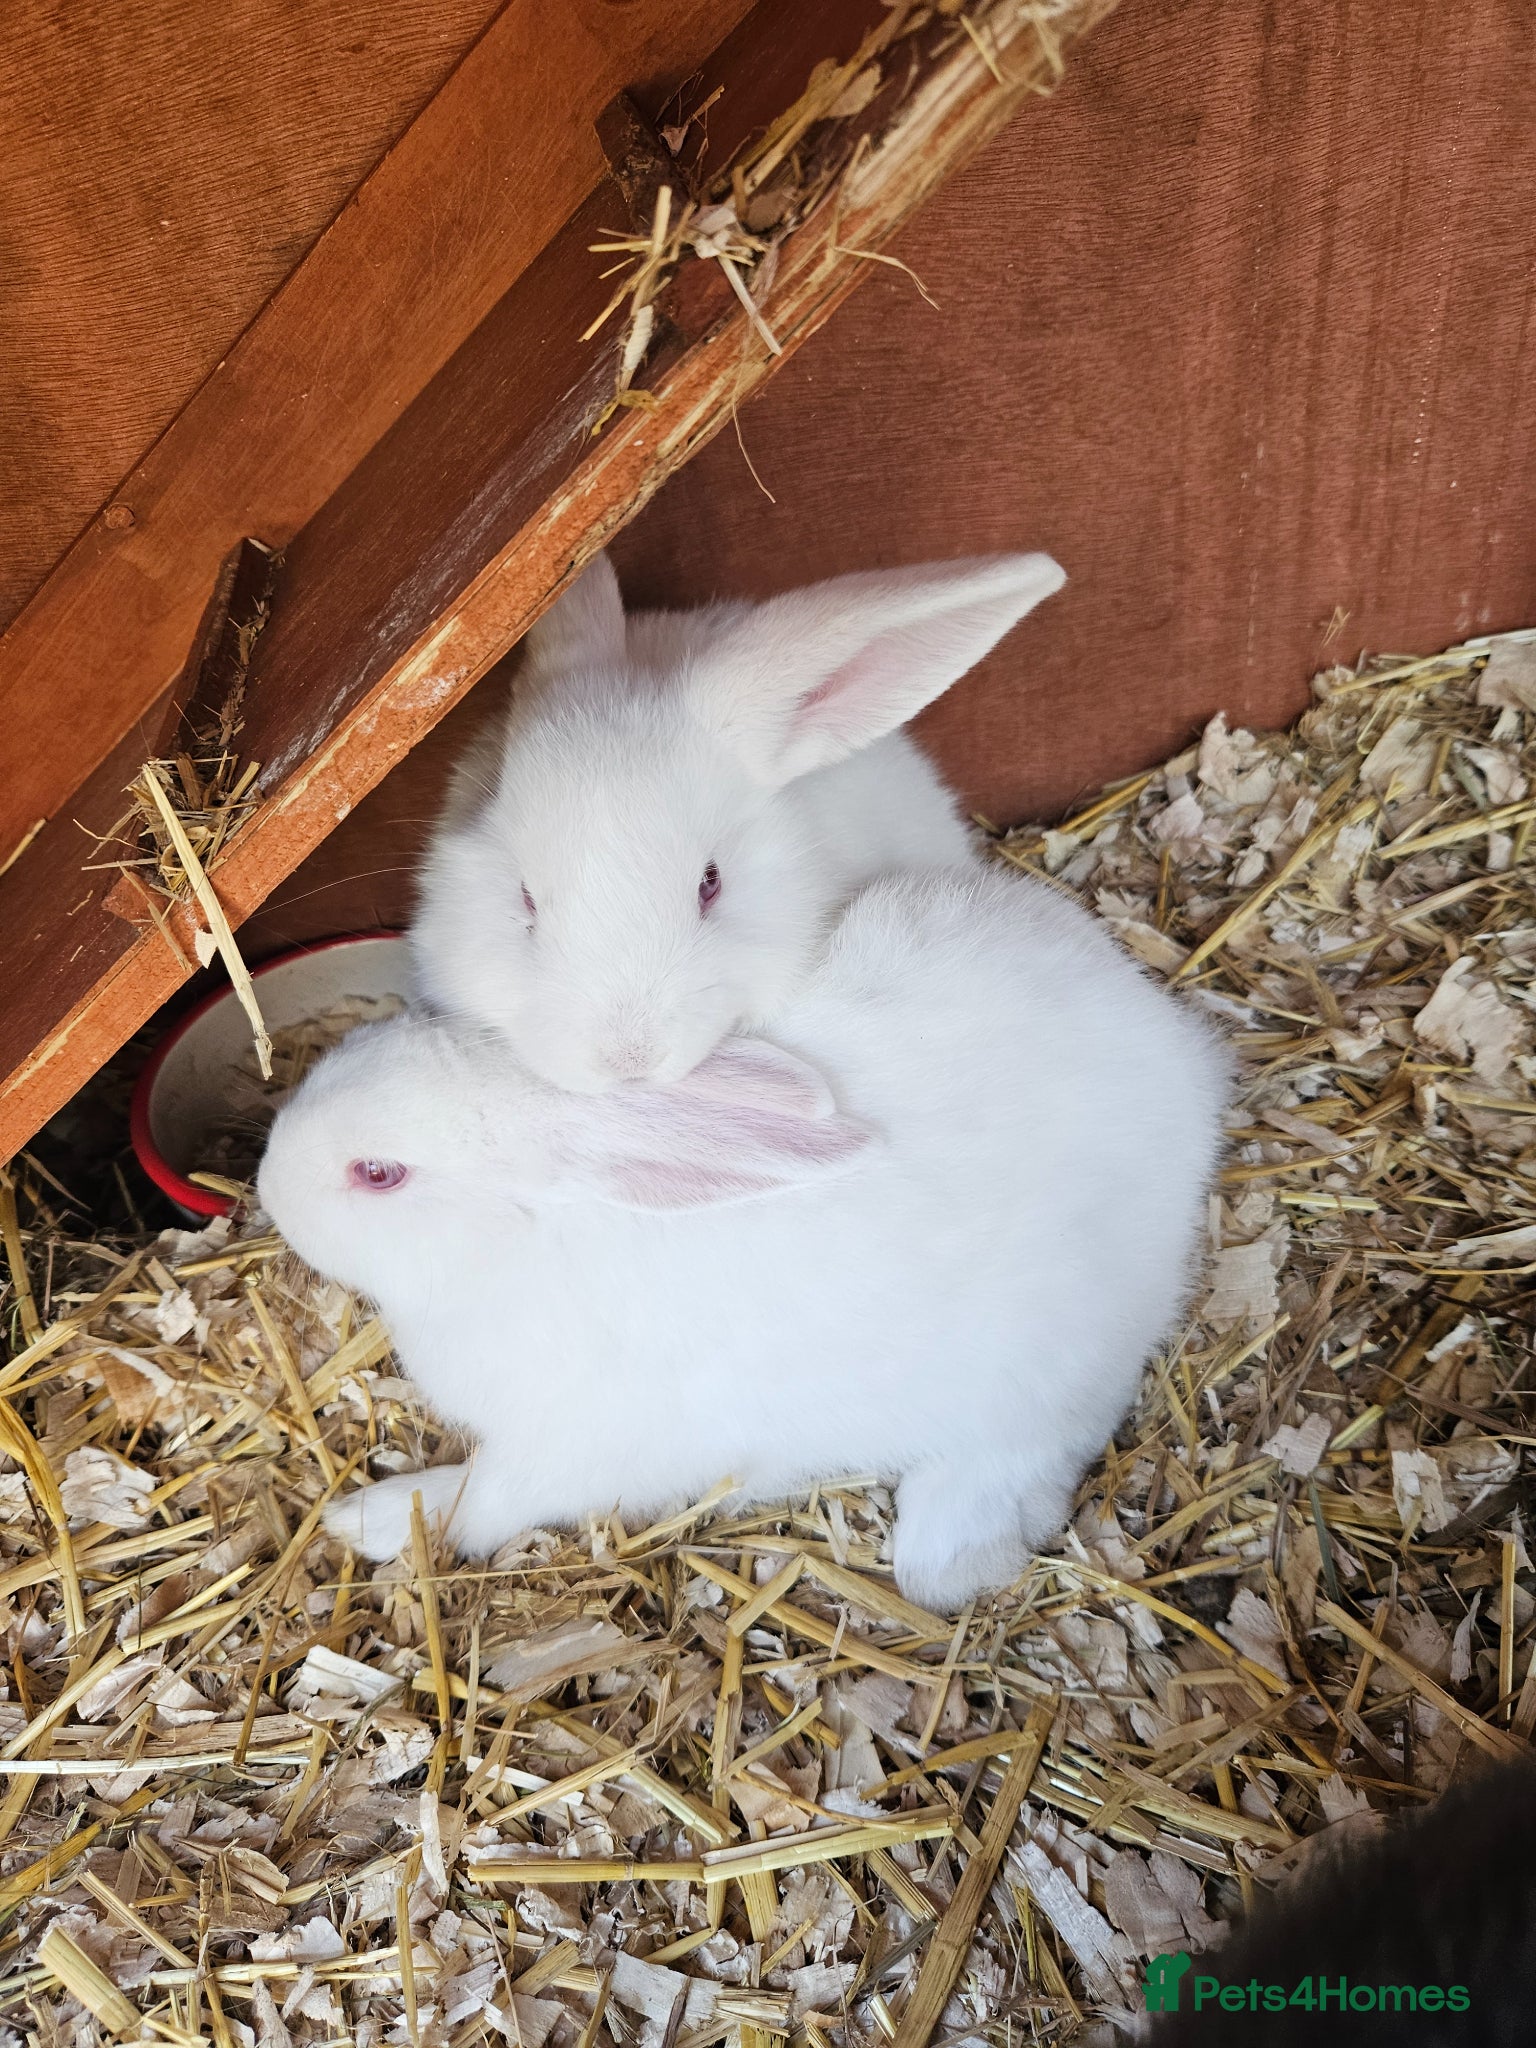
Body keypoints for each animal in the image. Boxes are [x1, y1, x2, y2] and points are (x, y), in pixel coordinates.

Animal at [259, 863, 1227, 1608]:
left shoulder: (576, 1452)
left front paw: (367, 1518)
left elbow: (479, 1500)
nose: (268, 1184)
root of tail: (1182, 1071)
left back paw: (950, 1556)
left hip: (1039, 1365)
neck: (536, 1236)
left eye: (378, 1173)